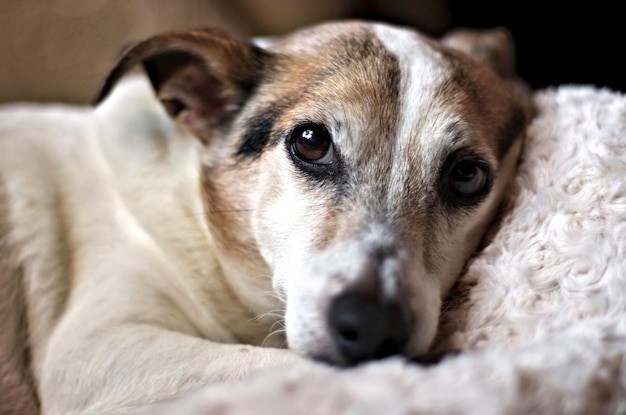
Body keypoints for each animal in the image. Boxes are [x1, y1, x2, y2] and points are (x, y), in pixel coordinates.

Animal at [0, 19, 532, 415]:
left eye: (466, 175)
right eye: (311, 142)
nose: (373, 326)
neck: (202, 223)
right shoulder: (99, 346)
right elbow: (276, 364)